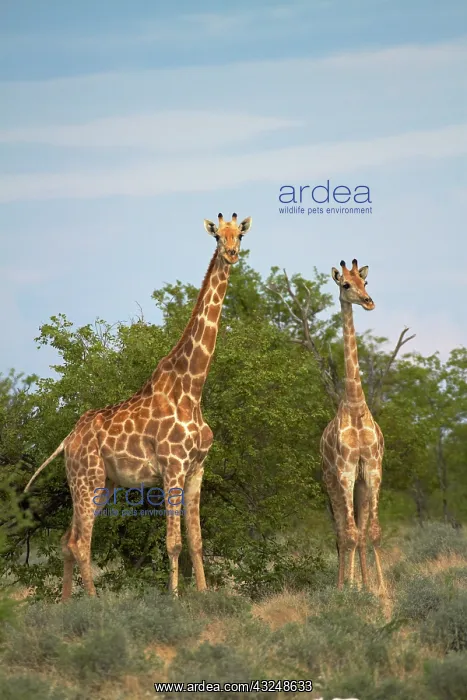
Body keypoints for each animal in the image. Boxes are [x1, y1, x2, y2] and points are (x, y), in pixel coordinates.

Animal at [24, 212, 252, 601]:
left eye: (239, 234)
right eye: (217, 237)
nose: (232, 253)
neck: (192, 389)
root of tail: (67, 440)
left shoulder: (196, 470)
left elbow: (197, 542)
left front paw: (205, 595)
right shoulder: (173, 468)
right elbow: (174, 543)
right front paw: (174, 599)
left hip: (103, 483)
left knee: (67, 540)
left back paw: (66, 605)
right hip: (86, 478)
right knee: (81, 542)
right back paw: (93, 604)